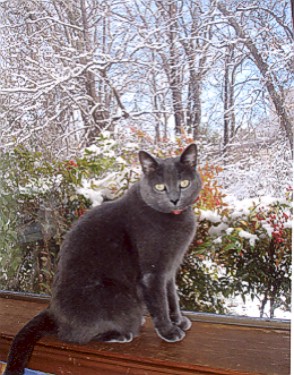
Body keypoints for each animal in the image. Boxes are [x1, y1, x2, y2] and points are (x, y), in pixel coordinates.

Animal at [4, 144, 202, 375]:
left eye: (184, 183)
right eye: (160, 187)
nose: (174, 199)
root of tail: (53, 312)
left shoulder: (169, 269)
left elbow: (172, 298)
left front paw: (178, 321)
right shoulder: (153, 272)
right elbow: (160, 303)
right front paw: (169, 331)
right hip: (115, 298)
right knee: (75, 336)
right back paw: (121, 334)